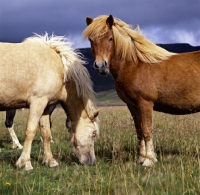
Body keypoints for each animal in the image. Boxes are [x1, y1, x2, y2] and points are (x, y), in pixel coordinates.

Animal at [0, 34, 99, 171]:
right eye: (94, 134)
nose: (92, 162)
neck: (60, 70)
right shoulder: (37, 102)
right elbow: (30, 131)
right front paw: (25, 163)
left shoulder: (46, 106)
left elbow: (46, 133)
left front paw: (50, 161)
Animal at [83, 14, 200, 166]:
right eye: (91, 40)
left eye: (110, 38)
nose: (100, 66)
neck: (136, 65)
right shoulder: (133, 105)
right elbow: (139, 131)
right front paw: (141, 158)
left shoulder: (145, 103)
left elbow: (147, 130)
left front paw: (149, 160)